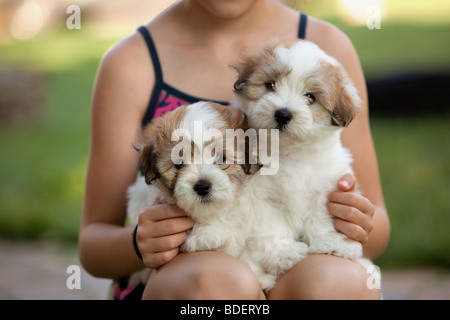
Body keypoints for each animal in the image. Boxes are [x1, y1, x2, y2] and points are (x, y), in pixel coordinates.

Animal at [128, 101, 308, 292]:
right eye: (178, 164)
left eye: (221, 158)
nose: (202, 186)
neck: (223, 209)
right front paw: (208, 234)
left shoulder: (260, 205)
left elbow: (266, 229)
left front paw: (283, 253)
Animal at [234, 39, 364, 260]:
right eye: (270, 85)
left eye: (310, 97)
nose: (283, 114)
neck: (290, 152)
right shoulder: (259, 196)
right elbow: (271, 224)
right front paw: (283, 252)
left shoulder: (326, 186)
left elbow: (320, 217)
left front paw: (331, 243)